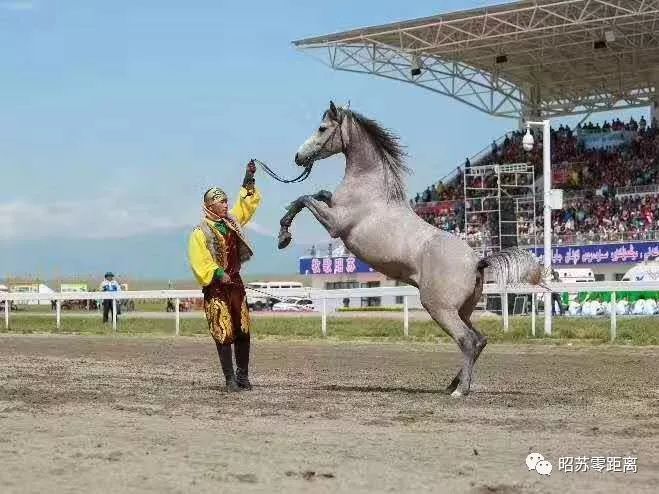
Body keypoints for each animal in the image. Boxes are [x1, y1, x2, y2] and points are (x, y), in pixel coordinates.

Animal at [278, 102, 540, 396]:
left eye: (322, 128)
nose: (298, 157)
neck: (370, 187)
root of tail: (478, 261)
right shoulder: (332, 207)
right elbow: (316, 195)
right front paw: (283, 232)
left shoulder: (336, 224)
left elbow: (305, 198)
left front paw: (283, 234)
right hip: (463, 310)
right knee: (480, 339)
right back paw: (453, 384)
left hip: (439, 308)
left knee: (467, 340)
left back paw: (460, 390)